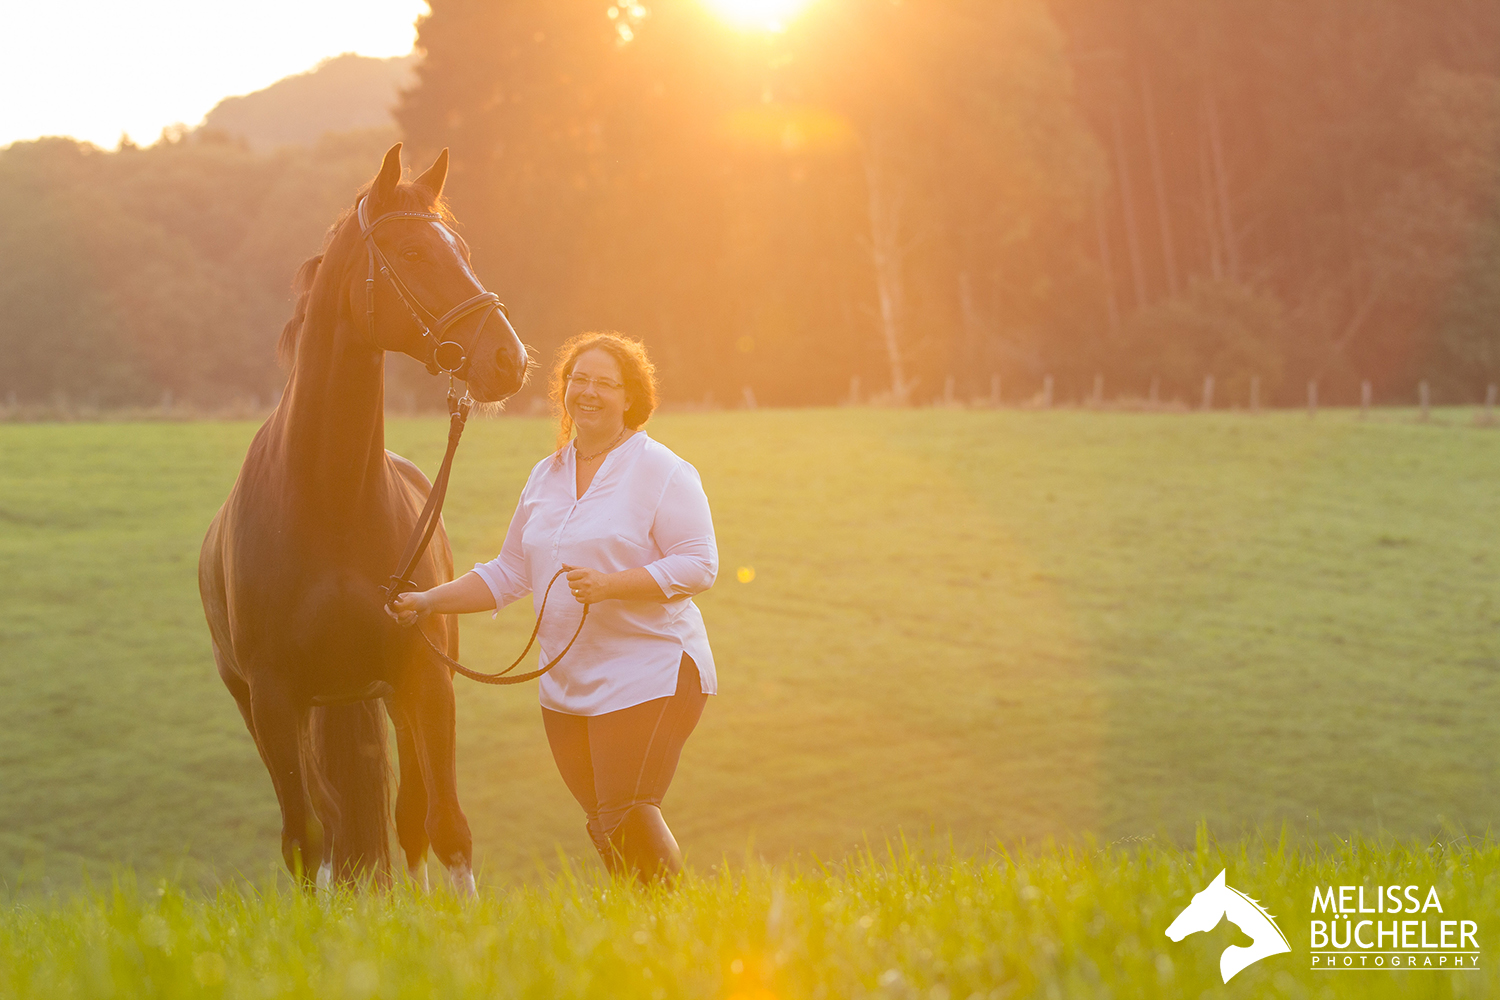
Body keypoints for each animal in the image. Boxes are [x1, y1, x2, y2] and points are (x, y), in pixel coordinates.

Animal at [199, 142, 528, 893]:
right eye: (410, 253)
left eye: (462, 249)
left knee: (407, 823)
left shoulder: (425, 680)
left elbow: (446, 829)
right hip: (274, 709)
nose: (510, 359)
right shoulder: (274, 697)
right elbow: (306, 841)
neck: (331, 499)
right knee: (325, 827)